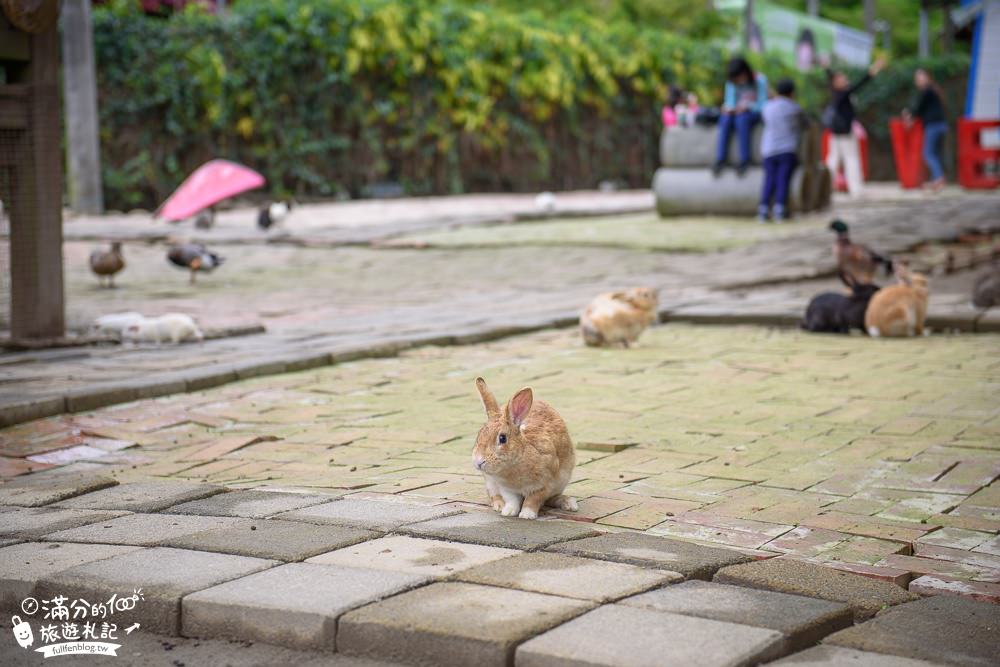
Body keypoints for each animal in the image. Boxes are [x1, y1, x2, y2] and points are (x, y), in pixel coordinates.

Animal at [474, 378, 580, 520]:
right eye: (479, 435)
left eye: (502, 438)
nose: (479, 462)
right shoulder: (505, 488)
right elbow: (512, 500)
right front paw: (508, 511)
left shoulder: (544, 485)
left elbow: (533, 500)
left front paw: (527, 515)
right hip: (490, 483)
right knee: (494, 495)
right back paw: (499, 505)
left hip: (562, 482)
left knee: (552, 499)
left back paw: (569, 503)